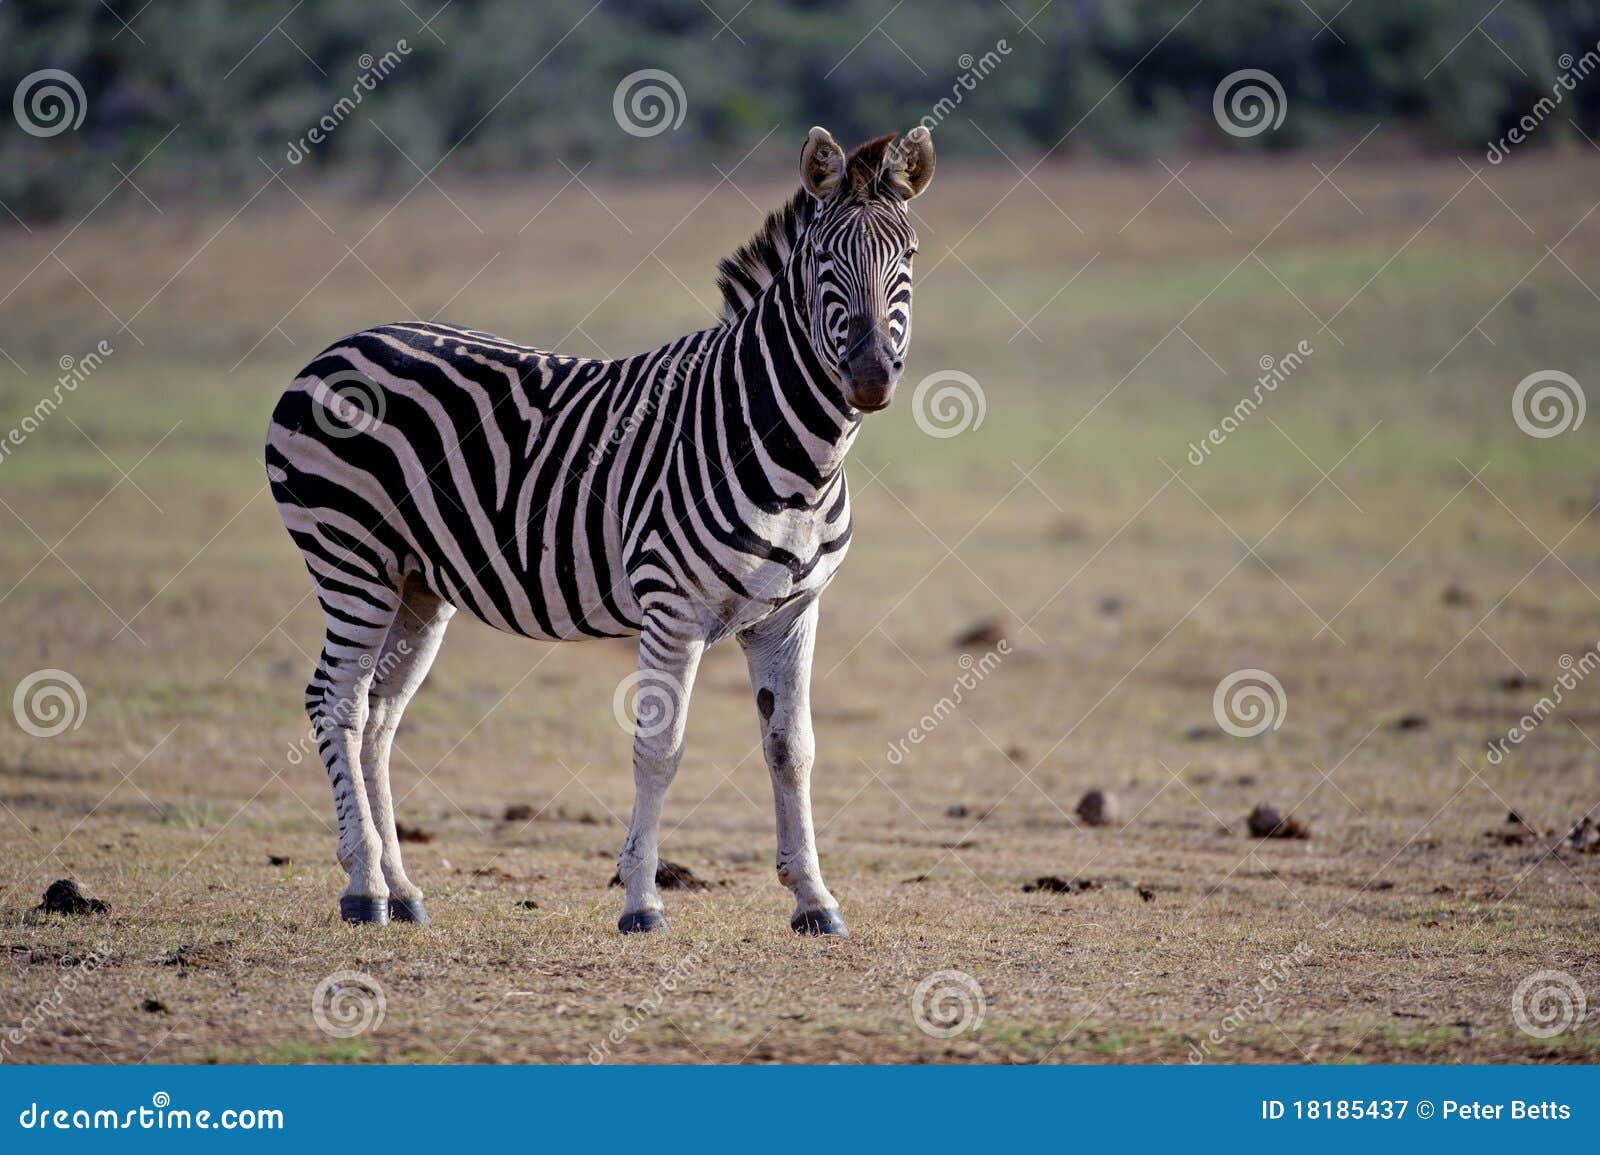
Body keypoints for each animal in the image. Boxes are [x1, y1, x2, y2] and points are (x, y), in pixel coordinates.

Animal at [264, 126, 935, 935]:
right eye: (823, 261)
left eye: (909, 256)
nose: (870, 377)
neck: (792, 455)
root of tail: (333, 348)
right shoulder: (672, 608)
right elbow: (660, 749)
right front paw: (642, 900)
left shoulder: (791, 613)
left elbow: (791, 749)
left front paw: (814, 899)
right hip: (349, 557)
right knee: (336, 701)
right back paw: (364, 887)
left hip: (414, 584)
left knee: (379, 715)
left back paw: (401, 887)